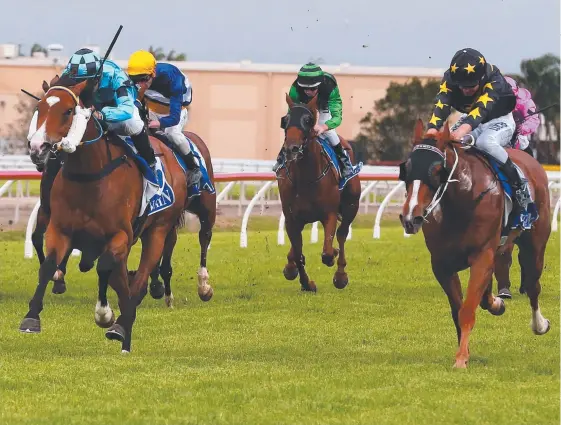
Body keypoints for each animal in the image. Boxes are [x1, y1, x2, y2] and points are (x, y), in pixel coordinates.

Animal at [21, 77, 212, 352]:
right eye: (40, 108)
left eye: (68, 111)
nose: (38, 148)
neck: (89, 177)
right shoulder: (59, 228)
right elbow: (48, 264)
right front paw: (32, 317)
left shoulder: (120, 235)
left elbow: (105, 267)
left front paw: (105, 314)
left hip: (164, 226)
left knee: (153, 269)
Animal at [274, 94, 360, 290]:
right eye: (285, 120)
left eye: (308, 120)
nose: (291, 149)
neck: (305, 179)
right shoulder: (291, 218)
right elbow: (298, 254)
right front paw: (307, 283)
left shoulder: (330, 213)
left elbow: (327, 252)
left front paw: (333, 256)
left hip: (352, 206)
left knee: (342, 234)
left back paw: (340, 275)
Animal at [398, 119, 552, 368]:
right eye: (407, 169)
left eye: (436, 170)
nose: (411, 218)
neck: (462, 199)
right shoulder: (442, 264)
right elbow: (458, 309)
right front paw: (466, 350)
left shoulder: (482, 256)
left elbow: (468, 309)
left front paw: (461, 359)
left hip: (535, 246)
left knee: (533, 286)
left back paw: (540, 324)